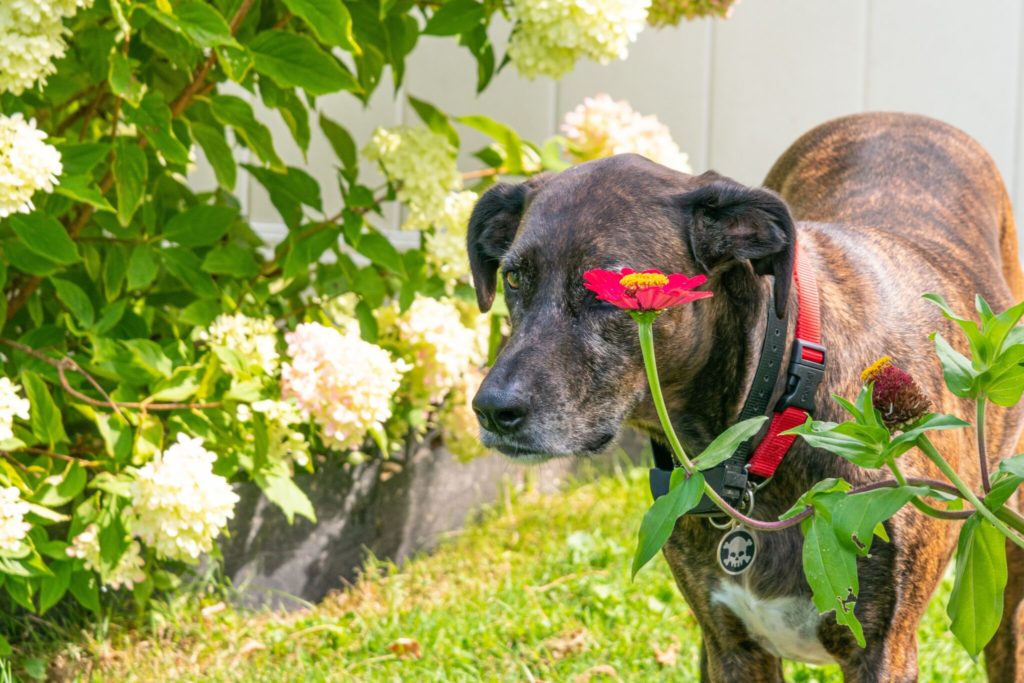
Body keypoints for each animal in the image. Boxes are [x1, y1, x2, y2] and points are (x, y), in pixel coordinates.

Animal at [468, 114, 1024, 679]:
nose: (491, 410)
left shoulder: (882, 651)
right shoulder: (731, 646)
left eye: (611, 289)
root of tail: (898, 116)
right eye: (513, 278)